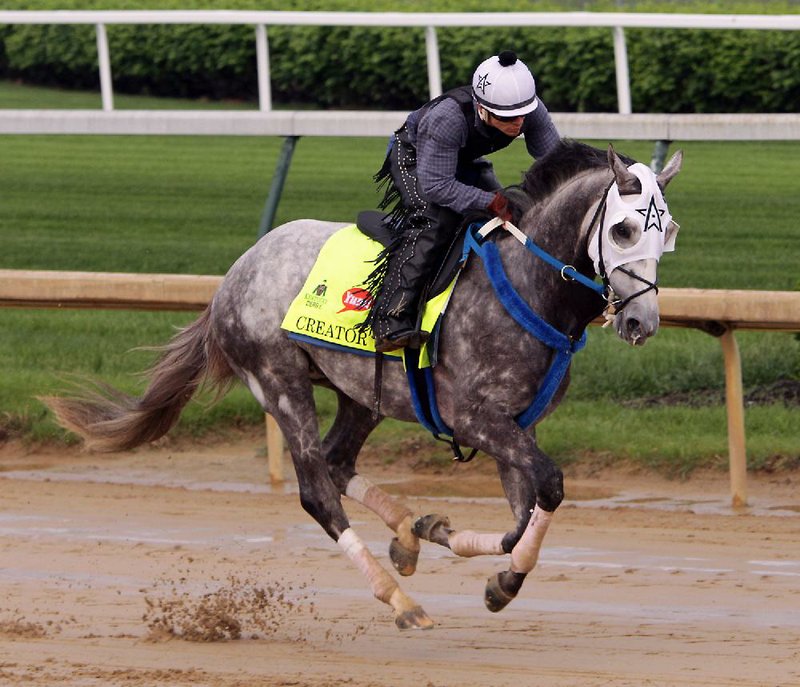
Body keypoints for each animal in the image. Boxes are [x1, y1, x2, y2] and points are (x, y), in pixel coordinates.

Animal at [45, 138, 680, 628]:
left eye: (668, 230)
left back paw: (407, 533)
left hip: (359, 392)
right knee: (317, 490)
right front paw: (489, 573)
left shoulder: (516, 425)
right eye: (624, 230)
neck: (528, 287)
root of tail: (234, 275)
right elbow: (548, 486)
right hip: (280, 381)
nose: (640, 322)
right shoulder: (476, 418)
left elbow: (523, 519)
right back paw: (400, 600)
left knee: (336, 460)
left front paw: (469, 556)